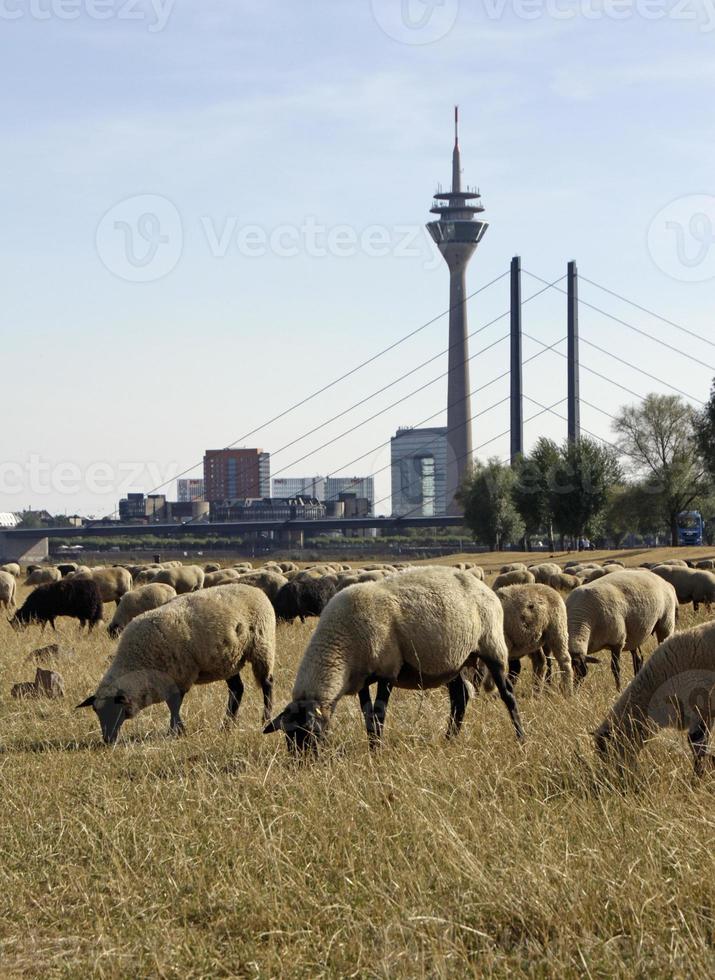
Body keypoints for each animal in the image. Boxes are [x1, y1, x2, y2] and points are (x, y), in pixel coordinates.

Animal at [77, 584, 276, 748]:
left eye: (114, 709)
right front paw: (178, 730)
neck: (137, 661)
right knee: (237, 690)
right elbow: (172, 706)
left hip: (262, 646)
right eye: (96, 711)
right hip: (230, 660)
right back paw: (227, 725)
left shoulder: (180, 676)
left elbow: (174, 705)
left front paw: (176, 731)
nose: (108, 740)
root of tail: (256, 590)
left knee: (267, 683)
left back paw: (265, 718)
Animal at [262, 564, 520, 756]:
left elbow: (379, 714)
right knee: (460, 698)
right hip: (453, 663)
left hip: (492, 646)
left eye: (310, 732)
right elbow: (367, 715)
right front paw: (372, 747)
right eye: (288, 735)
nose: (301, 763)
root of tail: (482, 586)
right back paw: (449, 739)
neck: (340, 647)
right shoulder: (362, 678)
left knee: (507, 694)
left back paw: (521, 737)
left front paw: (376, 751)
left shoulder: (388, 671)